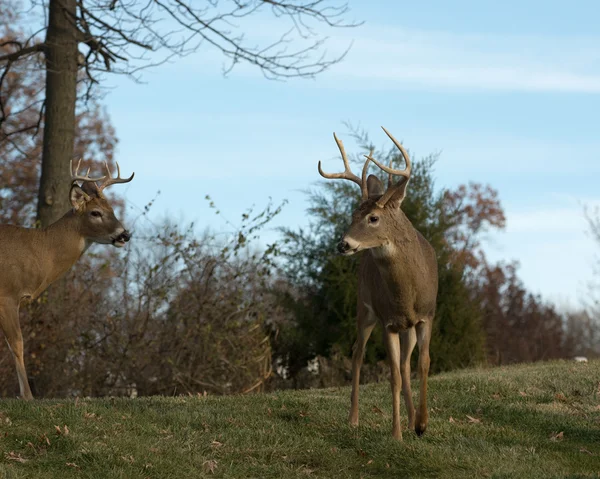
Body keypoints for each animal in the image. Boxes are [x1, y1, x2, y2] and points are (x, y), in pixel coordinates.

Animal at [0, 159, 134, 400]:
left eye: (112, 209)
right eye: (95, 213)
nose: (125, 235)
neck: (37, 251)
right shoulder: (7, 294)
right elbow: (17, 344)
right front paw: (28, 396)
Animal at [316, 127, 438, 442]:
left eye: (373, 217)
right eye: (352, 215)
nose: (343, 244)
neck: (407, 295)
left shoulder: (426, 316)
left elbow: (423, 364)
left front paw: (421, 424)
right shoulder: (387, 320)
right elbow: (392, 375)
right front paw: (396, 434)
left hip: (405, 326)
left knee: (406, 365)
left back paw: (411, 419)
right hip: (364, 307)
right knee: (358, 353)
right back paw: (354, 418)